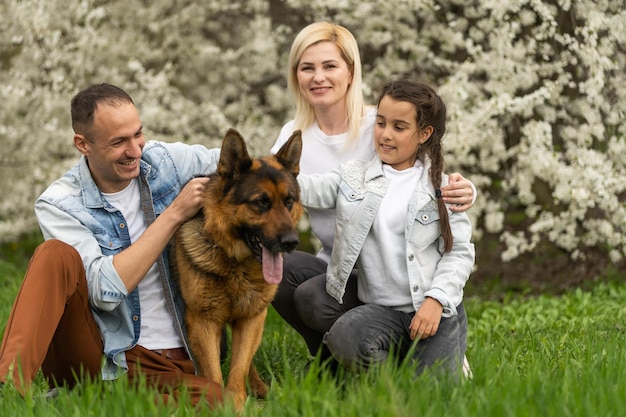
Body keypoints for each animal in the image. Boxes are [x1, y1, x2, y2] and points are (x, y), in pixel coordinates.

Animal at [168, 128, 300, 408]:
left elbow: (239, 366)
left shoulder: (252, 317)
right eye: (260, 202)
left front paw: (237, 402)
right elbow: (213, 373)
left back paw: (259, 386)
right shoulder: (203, 322)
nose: (291, 243)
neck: (236, 265)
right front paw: (218, 403)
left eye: (289, 201)